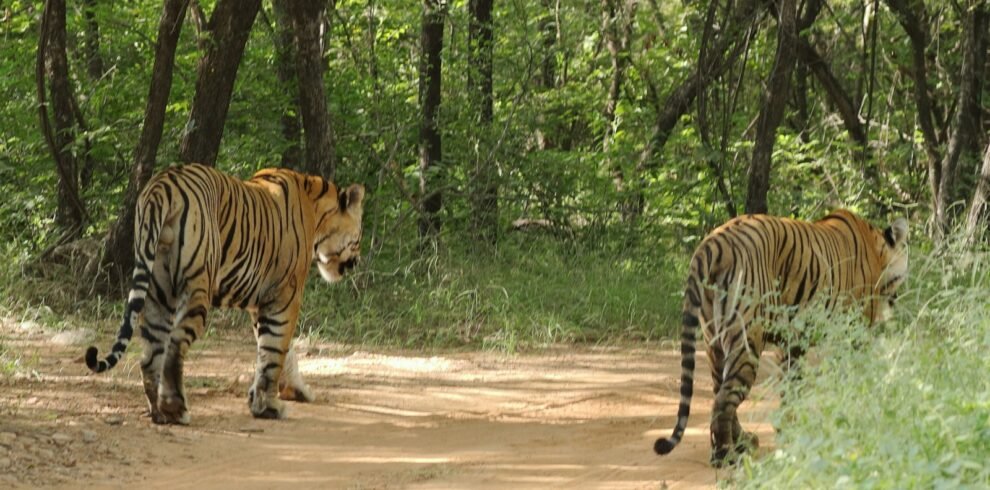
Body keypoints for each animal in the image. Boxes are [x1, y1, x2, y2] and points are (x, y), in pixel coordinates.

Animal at [85, 163, 364, 424]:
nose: (356, 262)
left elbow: (277, 351)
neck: (315, 208)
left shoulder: (261, 302)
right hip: (197, 286)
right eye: (359, 236)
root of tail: (161, 185)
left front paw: (289, 392)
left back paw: (159, 412)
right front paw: (269, 406)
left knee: (150, 354)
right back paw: (175, 409)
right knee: (174, 344)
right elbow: (275, 350)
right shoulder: (285, 296)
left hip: (157, 289)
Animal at [656, 209, 912, 466]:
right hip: (746, 338)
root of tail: (713, 244)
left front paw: (791, 429)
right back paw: (725, 455)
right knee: (724, 398)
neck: (876, 250)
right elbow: (854, 378)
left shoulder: (791, 342)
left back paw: (743, 442)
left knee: (719, 388)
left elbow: (791, 386)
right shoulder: (853, 331)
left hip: (714, 341)